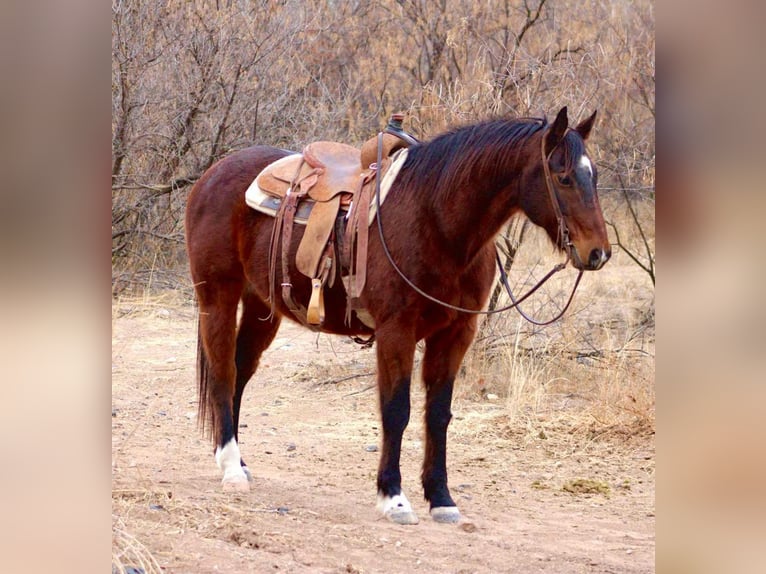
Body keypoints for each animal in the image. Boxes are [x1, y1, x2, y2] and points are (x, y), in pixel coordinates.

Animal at [185, 106, 611, 525]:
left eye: (593, 175)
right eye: (564, 177)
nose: (598, 253)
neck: (436, 221)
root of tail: (213, 174)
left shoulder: (456, 333)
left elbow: (438, 414)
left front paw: (441, 498)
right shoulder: (396, 332)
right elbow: (396, 411)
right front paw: (394, 497)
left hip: (262, 308)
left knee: (240, 372)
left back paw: (236, 460)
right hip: (218, 297)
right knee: (223, 371)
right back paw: (231, 468)